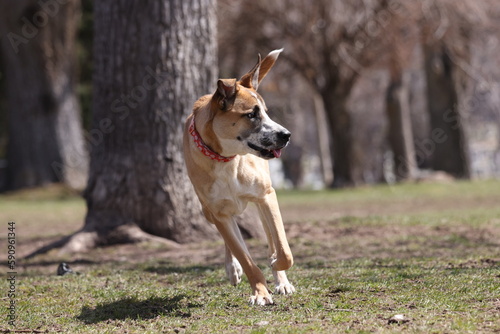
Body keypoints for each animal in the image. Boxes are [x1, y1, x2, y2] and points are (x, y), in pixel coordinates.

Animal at [183, 49, 292, 306]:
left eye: (266, 112)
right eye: (251, 114)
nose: (286, 135)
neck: (227, 160)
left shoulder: (266, 196)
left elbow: (283, 249)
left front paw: (277, 266)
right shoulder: (218, 212)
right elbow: (244, 256)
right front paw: (260, 292)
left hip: (263, 202)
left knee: (272, 237)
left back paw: (281, 280)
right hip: (207, 211)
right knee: (232, 239)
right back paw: (232, 269)